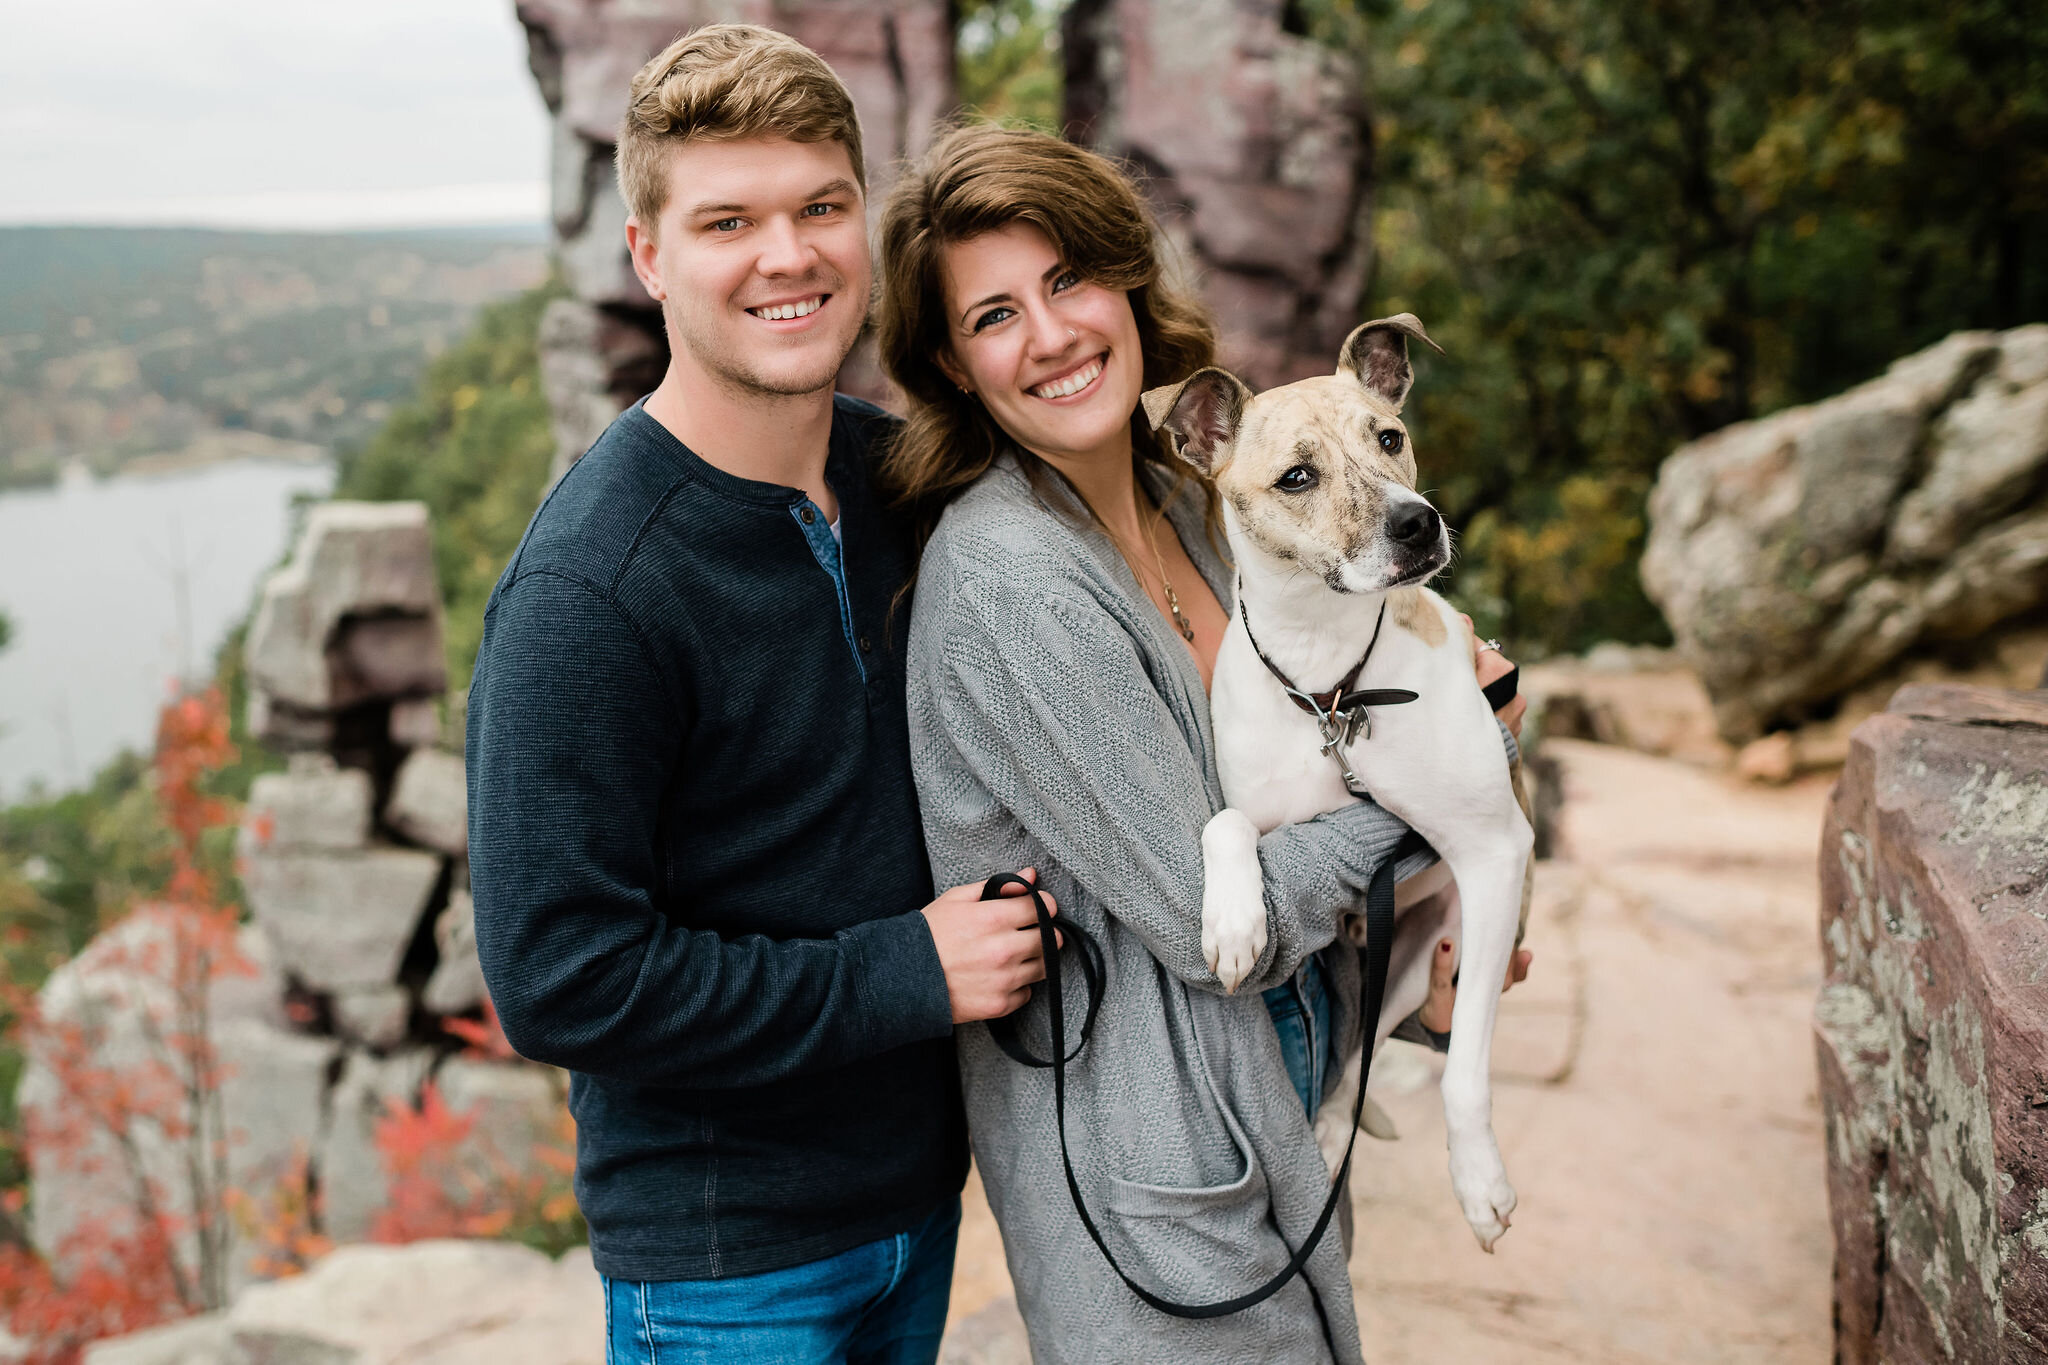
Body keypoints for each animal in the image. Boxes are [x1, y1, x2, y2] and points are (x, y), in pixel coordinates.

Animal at [1146, 315, 1531, 1252]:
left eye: (1389, 438)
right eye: (1297, 476)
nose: (1419, 525)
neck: (1331, 683)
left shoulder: (1496, 852)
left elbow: (1465, 1065)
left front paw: (1480, 1182)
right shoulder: (1253, 808)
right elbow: (1224, 826)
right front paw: (1235, 921)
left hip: (1440, 946)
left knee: (1375, 1051)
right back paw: (1324, 1131)